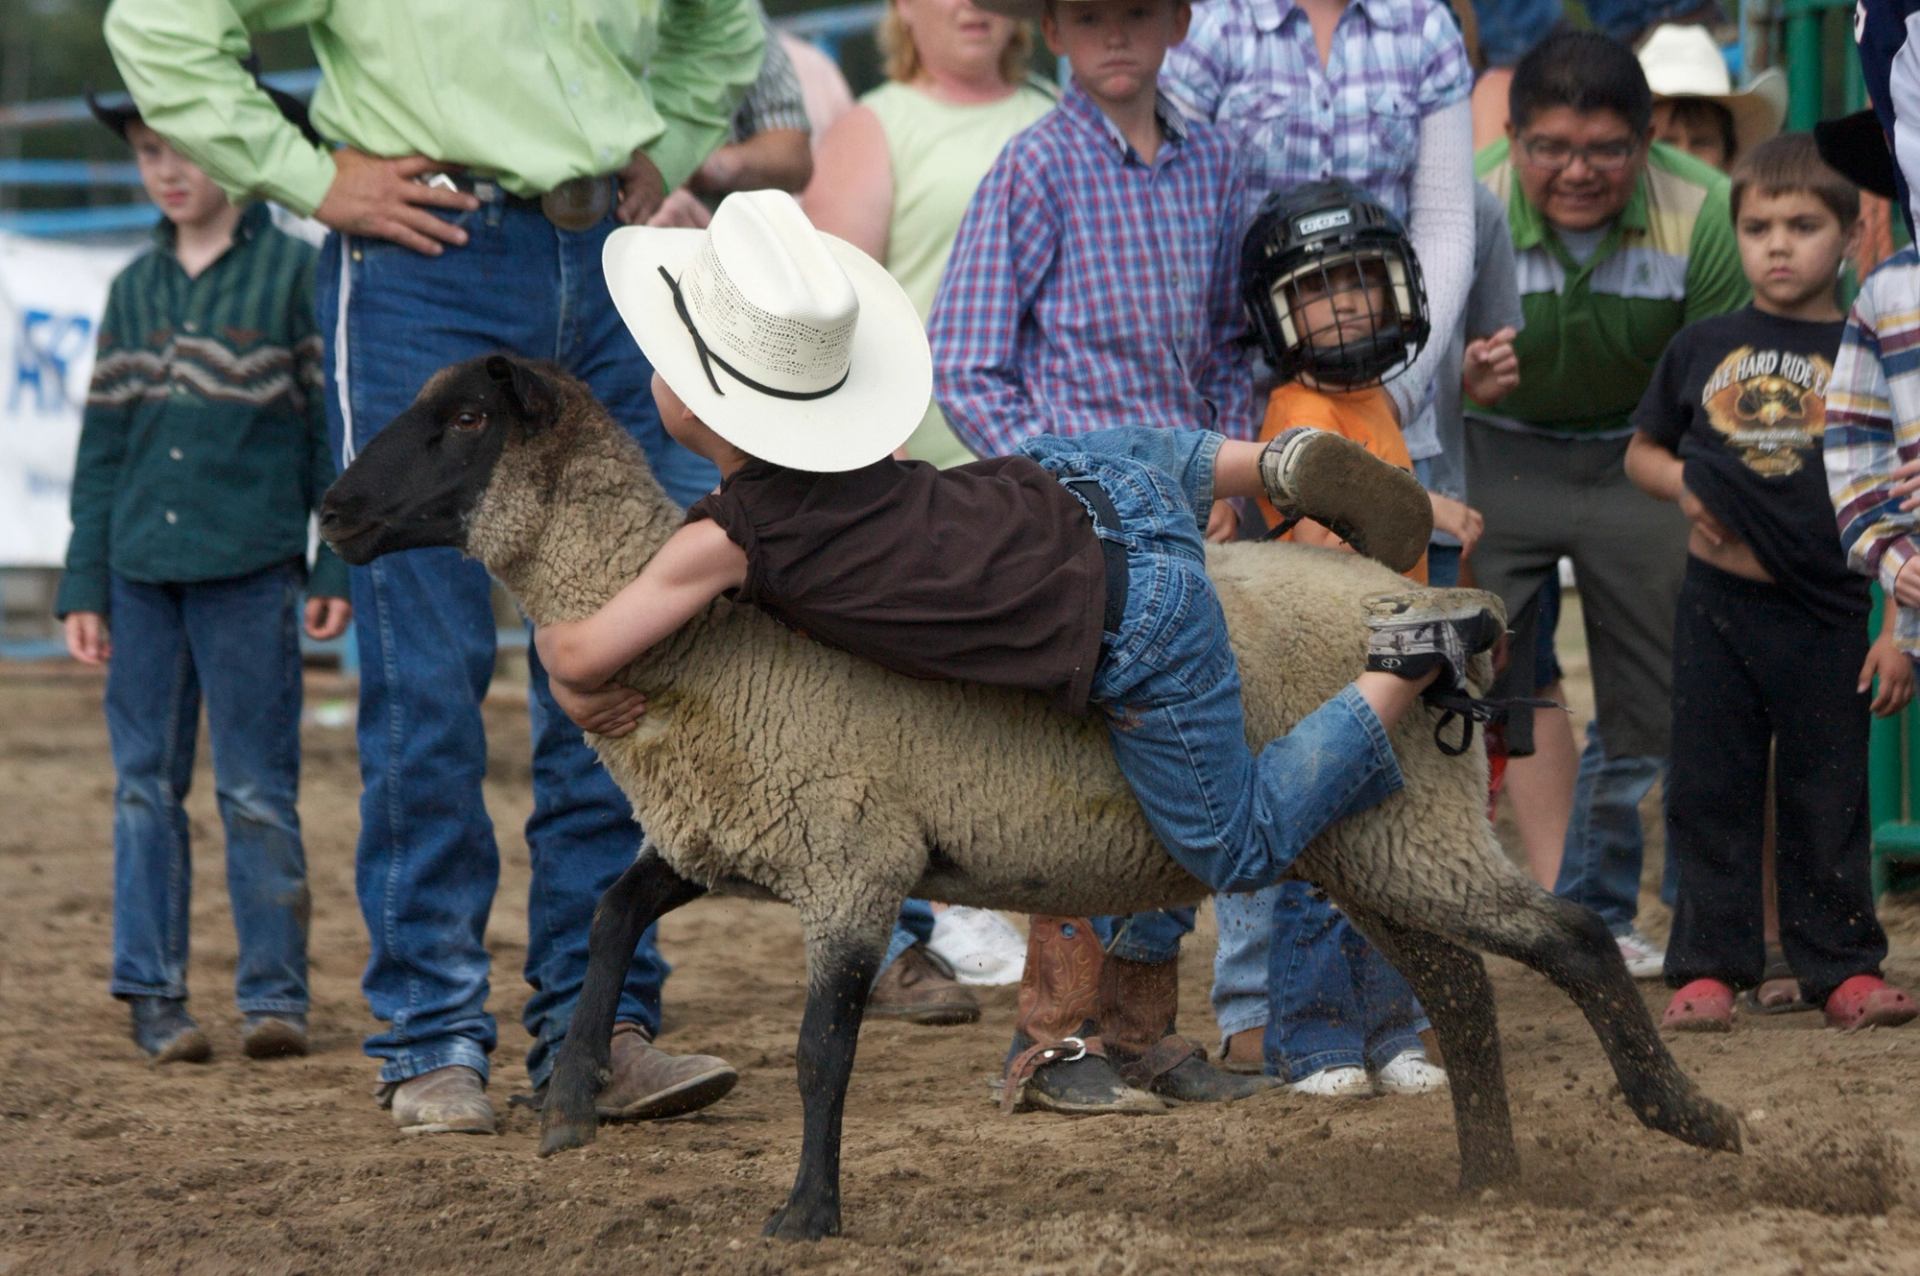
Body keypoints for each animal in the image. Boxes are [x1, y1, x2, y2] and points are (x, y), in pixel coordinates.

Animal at [319, 354, 1741, 1242]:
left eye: (464, 422)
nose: (330, 509)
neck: (714, 650)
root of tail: (1406, 589)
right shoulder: (741, 832)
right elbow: (614, 909)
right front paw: (567, 1108)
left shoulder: (853, 856)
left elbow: (822, 1047)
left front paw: (807, 1213)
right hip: (1363, 836)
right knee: (1463, 992)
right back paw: (1488, 1185)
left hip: (1389, 828)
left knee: (1564, 937)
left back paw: (1687, 1115)